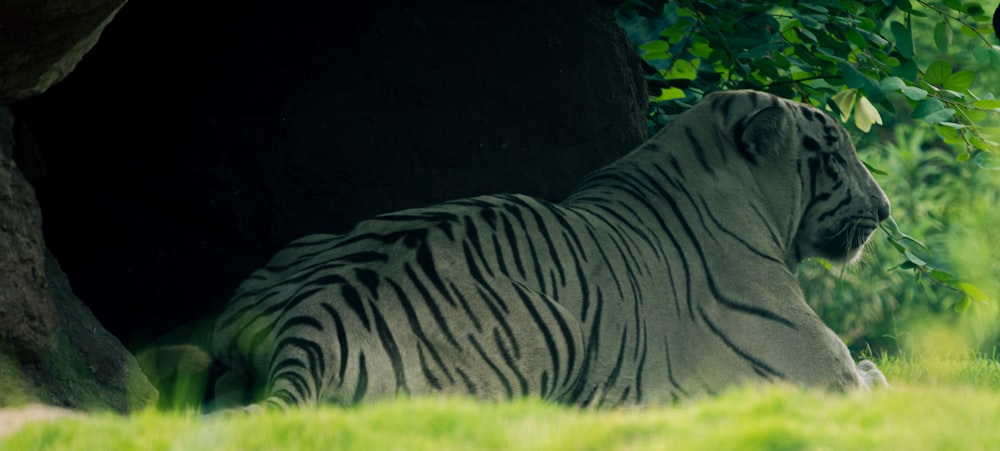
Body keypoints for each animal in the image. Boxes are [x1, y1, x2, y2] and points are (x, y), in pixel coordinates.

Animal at [207, 90, 896, 412]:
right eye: (837, 153)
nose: (887, 209)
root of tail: (314, 321)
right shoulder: (817, 370)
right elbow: (872, 374)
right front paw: (878, 370)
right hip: (554, 327)